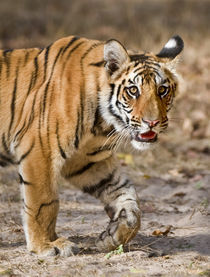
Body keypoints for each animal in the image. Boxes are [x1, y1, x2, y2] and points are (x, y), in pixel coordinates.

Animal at [0, 35, 184, 256]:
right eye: (133, 90)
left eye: (162, 90)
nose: (153, 122)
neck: (102, 123)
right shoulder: (40, 150)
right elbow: (43, 203)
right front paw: (45, 245)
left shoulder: (86, 161)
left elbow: (126, 194)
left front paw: (115, 234)